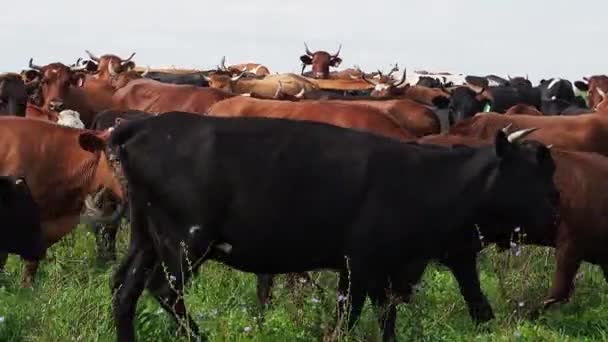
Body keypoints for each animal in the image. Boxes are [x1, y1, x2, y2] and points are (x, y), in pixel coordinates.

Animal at [110, 113, 560, 342]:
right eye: (535, 175)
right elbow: (347, 318)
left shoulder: (388, 271)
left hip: (146, 239)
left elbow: (387, 321)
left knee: (123, 289)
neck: (423, 180)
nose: (559, 216)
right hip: (186, 242)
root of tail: (147, 125)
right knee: (165, 292)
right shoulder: (357, 266)